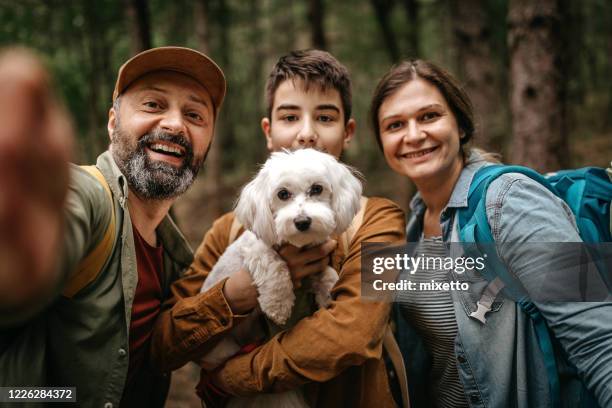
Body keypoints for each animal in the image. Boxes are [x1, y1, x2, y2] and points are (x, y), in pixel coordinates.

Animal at [201, 147, 360, 404]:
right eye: (282, 194)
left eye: (317, 189)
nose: (302, 221)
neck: (298, 246)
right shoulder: (255, 249)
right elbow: (274, 265)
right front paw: (278, 303)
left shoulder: (315, 261)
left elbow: (326, 273)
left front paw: (329, 292)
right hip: (220, 348)